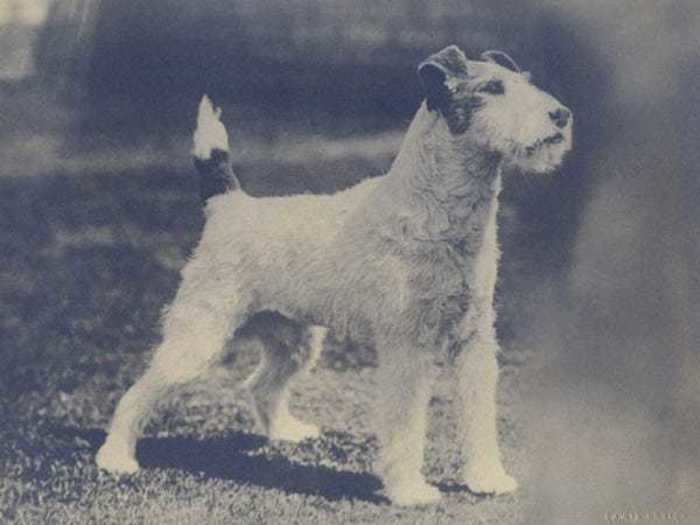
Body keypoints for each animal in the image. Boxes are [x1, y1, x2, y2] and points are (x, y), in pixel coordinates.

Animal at [95, 45, 572, 504]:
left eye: (525, 81)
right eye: (492, 88)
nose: (562, 115)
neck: (437, 210)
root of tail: (228, 205)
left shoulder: (474, 340)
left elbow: (479, 417)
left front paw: (489, 479)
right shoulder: (408, 346)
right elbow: (406, 426)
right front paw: (410, 492)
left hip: (295, 340)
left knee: (260, 386)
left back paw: (288, 433)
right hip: (198, 338)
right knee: (136, 394)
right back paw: (116, 458)